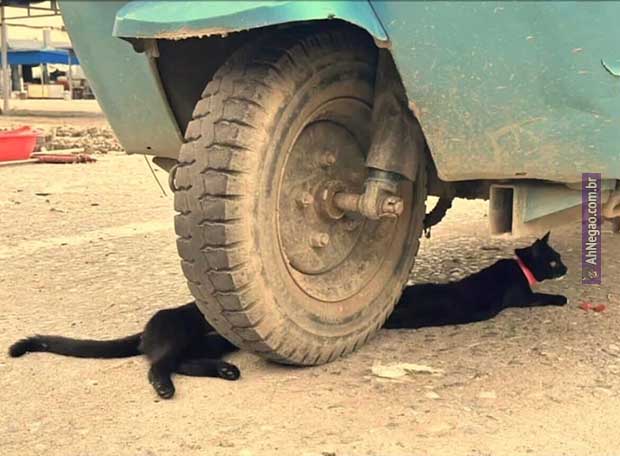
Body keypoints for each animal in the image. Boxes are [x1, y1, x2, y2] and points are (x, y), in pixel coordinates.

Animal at [9, 302, 240, 399]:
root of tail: (144, 332)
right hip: (176, 336)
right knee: (159, 366)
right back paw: (164, 388)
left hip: (210, 344)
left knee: (181, 363)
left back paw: (226, 370)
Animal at [384, 231, 568, 329]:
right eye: (553, 262)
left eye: (560, 257)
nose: (566, 269)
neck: (521, 267)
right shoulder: (524, 298)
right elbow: (543, 296)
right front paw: (561, 298)